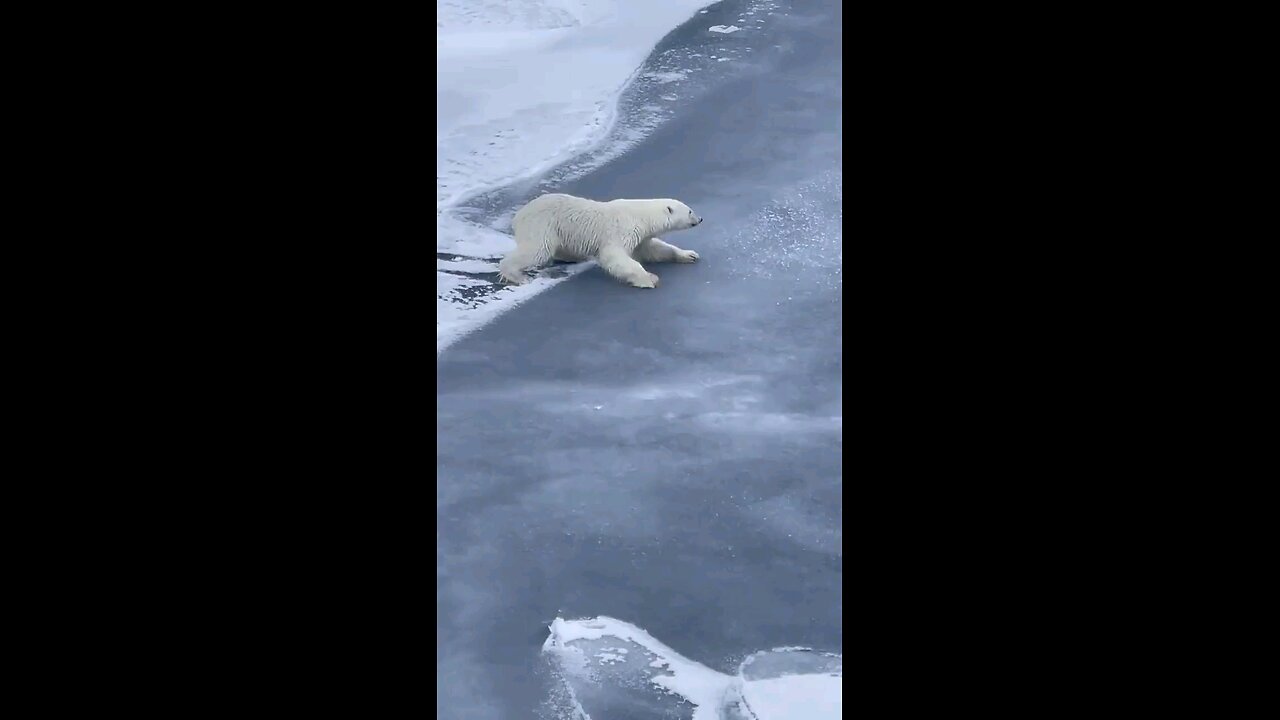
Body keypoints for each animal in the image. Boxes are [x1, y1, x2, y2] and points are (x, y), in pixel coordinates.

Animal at [496, 194, 701, 289]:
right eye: (690, 210)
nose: (700, 219)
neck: (641, 215)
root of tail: (518, 216)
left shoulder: (641, 236)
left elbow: (652, 249)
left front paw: (689, 255)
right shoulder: (622, 230)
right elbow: (615, 257)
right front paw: (649, 279)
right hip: (542, 224)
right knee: (537, 250)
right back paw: (516, 275)